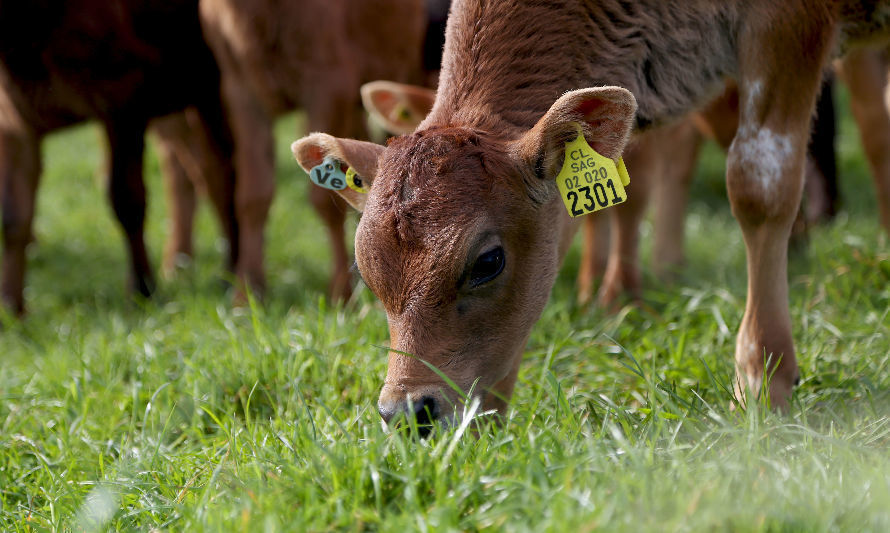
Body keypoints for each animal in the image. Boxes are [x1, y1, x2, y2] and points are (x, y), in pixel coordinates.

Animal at [294, 0, 888, 424]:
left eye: (488, 262)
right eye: (367, 270)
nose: (407, 413)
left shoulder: (788, 23)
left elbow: (759, 183)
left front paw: (763, 381)